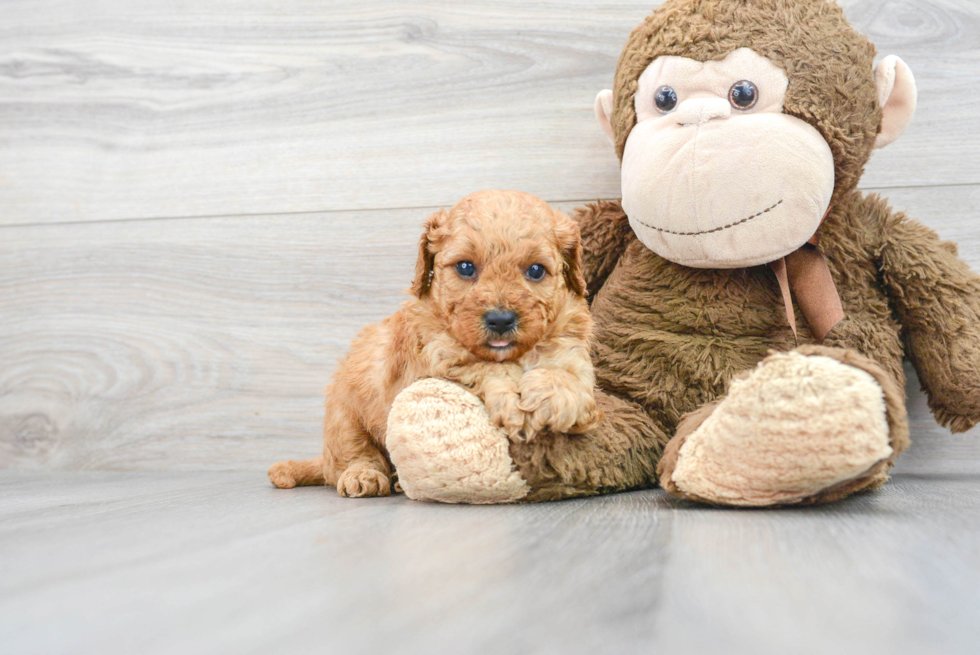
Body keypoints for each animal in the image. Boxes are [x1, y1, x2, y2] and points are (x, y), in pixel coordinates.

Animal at [272, 190, 600, 498]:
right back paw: (365, 475)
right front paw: (512, 401)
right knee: (351, 454)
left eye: (536, 270)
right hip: (344, 412)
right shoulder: (439, 357)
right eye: (465, 267)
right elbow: (484, 367)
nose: (500, 320)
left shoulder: (572, 346)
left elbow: (566, 372)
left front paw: (555, 398)